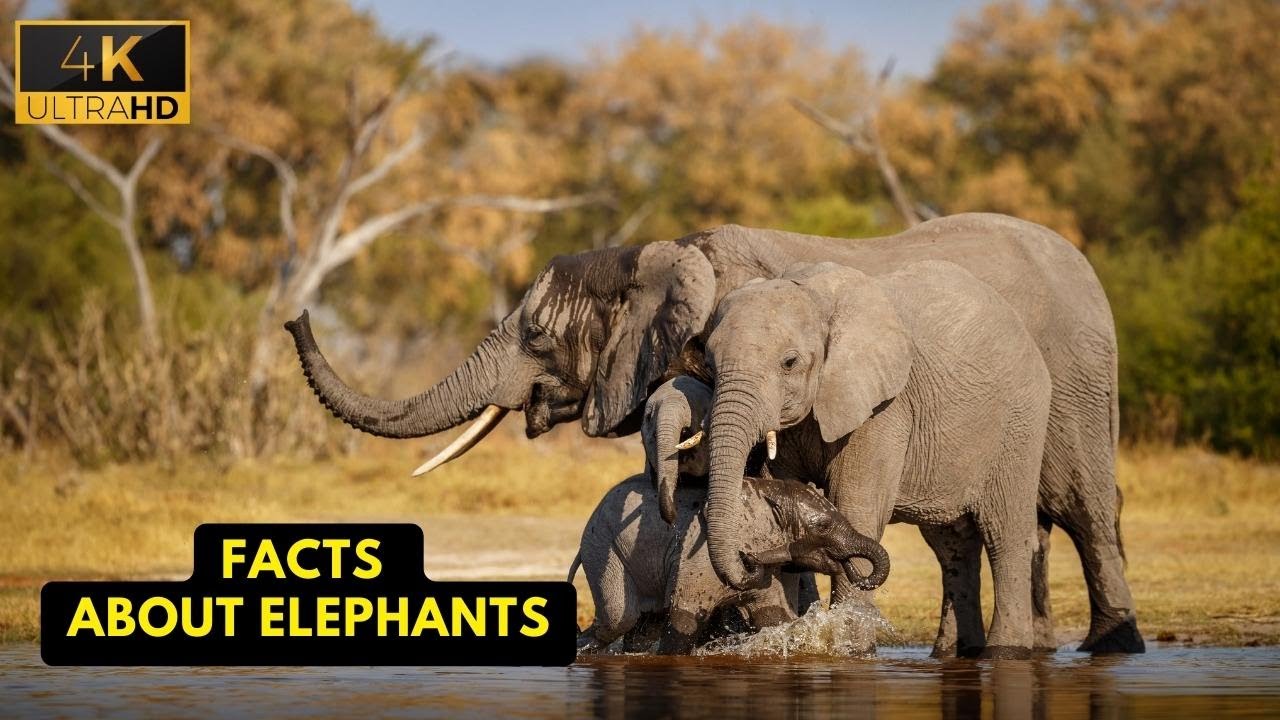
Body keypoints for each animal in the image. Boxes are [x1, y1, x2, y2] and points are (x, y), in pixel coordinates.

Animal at [570, 473, 889, 654]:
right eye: (823, 527)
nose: (848, 565)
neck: (767, 492)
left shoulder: (771, 569)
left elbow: (773, 617)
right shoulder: (696, 556)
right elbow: (684, 618)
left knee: (643, 624)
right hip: (602, 547)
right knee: (618, 619)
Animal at [702, 260, 1051, 658]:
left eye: (789, 363)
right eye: (709, 364)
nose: (747, 561)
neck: (816, 297)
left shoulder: (885, 409)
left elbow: (858, 506)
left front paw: (849, 649)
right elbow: (783, 498)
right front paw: (785, 638)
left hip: (1020, 423)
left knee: (1005, 534)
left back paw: (1006, 653)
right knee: (953, 546)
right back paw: (953, 652)